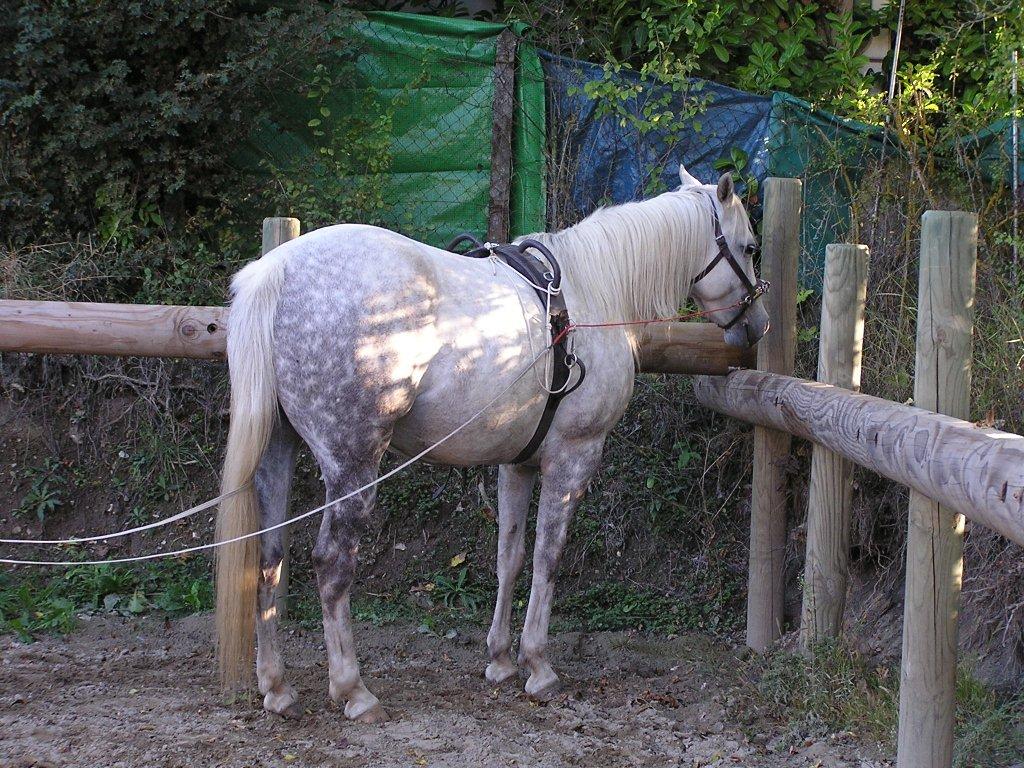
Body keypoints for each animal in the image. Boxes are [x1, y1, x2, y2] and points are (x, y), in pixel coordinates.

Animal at [216, 166, 770, 720]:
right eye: (749, 247)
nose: (757, 325)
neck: (591, 294)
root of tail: (276, 272)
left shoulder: (517, 464)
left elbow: (510, 555)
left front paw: (501, 659)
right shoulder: (574, 457)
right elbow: (548, 556)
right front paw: (538, 666)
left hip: (276, 453)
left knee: (268, 557)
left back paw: (276, 686)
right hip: (354, 467)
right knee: (332, 565)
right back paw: (353, 690)